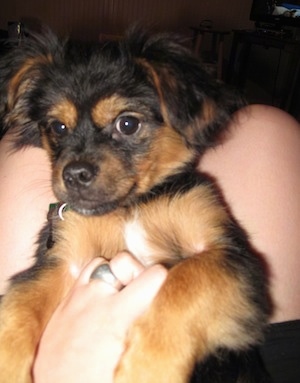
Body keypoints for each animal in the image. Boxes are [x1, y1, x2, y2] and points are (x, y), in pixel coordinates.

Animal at [0, 28, 270, 382]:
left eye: (127, 124)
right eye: (58, 126)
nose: (73, 175)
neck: (129, 208)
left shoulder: (229, 255)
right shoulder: (62, 261)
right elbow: (19, 307)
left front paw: (148, 368)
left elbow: (187, 280)